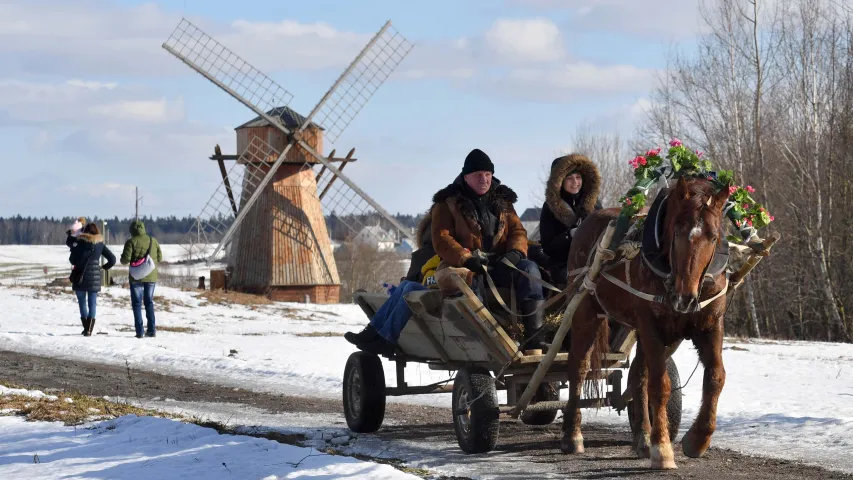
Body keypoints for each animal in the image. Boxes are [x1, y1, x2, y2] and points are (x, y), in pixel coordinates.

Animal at [560, 175, 732, 468]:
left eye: (712, 236)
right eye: (678, 231)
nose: (685, 297)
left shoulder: (710, 324)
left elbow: (715, 377)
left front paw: (697, 439)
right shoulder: (652, 325)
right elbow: (660, 385)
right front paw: (662, 450)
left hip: (638, 329)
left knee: (638, 376)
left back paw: (642, 437)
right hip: (586, 312)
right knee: (577, 368)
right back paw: (573, 435)